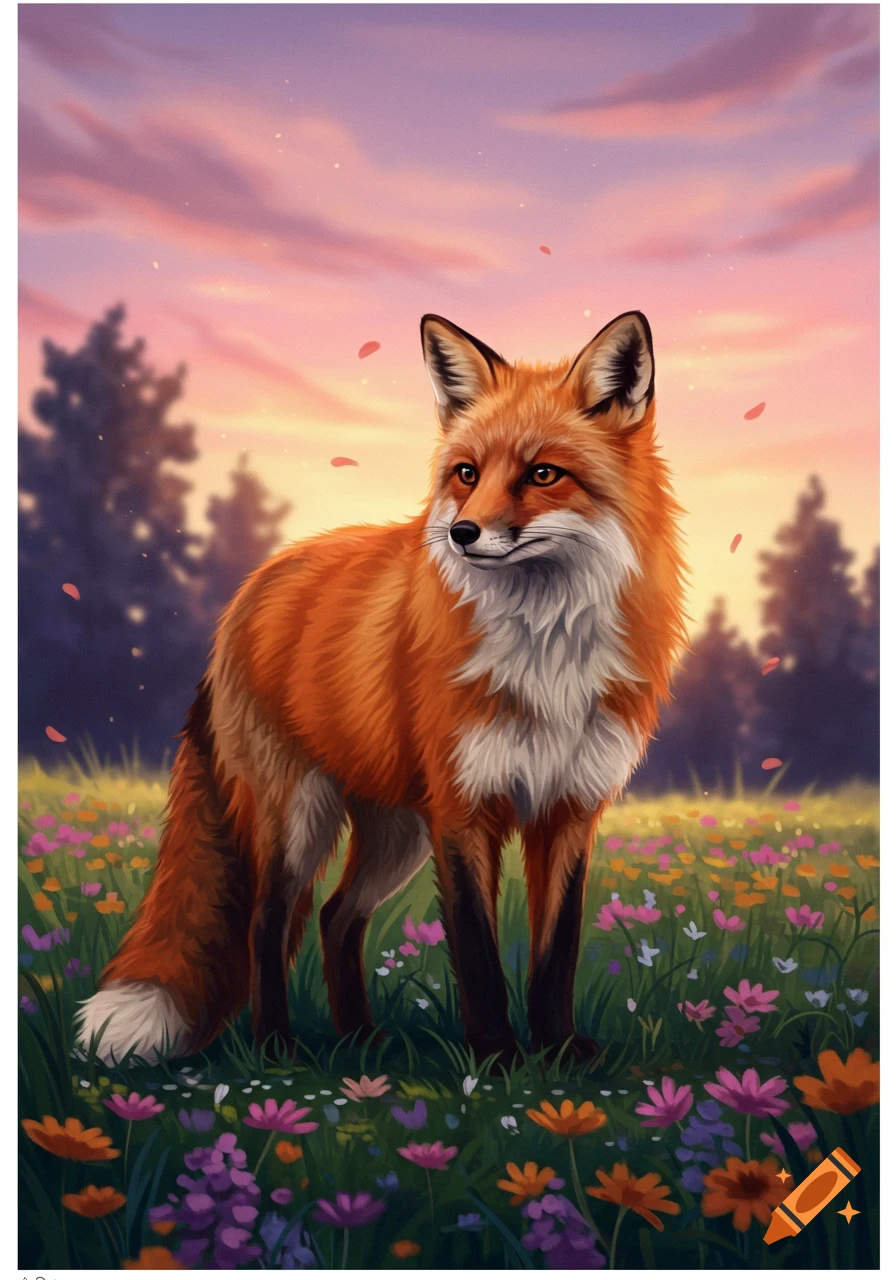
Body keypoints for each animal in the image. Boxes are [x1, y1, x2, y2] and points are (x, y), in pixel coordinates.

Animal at [75, 310, 687, 1068]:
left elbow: (557, 952)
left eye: (543, 474)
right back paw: (277, 1048)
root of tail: (251, 588)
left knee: (336, 915)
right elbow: (478, 952)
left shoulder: (569, 809)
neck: (546, 651)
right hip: (298, 816)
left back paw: (359, 1039)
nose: (461, 533)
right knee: (266, 923)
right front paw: (496, 1060)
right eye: (466, 473)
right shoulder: (462, 809)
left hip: (396, 832)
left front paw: (559, 1053)